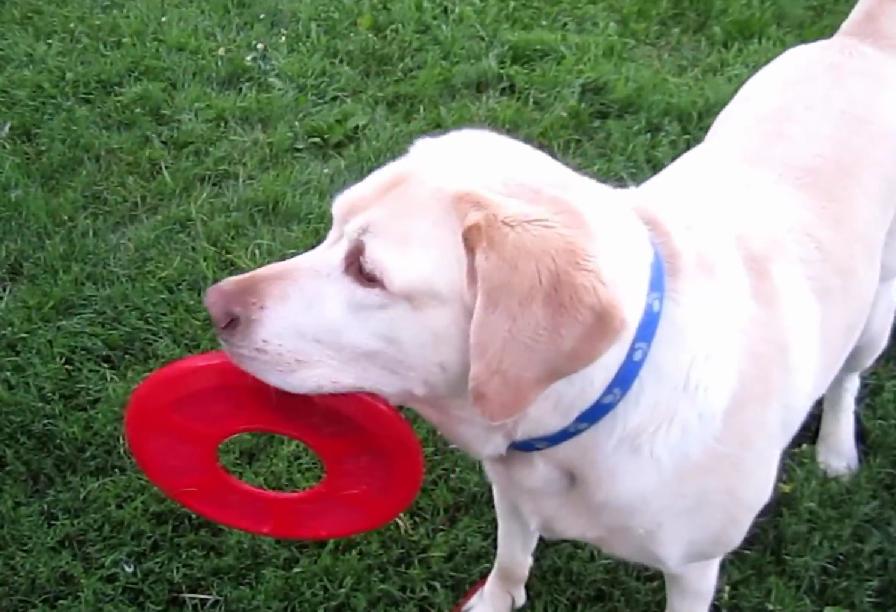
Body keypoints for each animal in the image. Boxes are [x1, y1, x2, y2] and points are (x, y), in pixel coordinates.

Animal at [201, 2, 896, 608]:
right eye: (331, 228)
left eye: (367, 271)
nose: (215, 305)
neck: (589, 414)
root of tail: (859, 44)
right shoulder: (512, 492)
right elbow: (512, 559)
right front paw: (495, 600)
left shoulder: (695, 567)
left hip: (876, 317)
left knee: (848, 378)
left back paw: (837, 451)